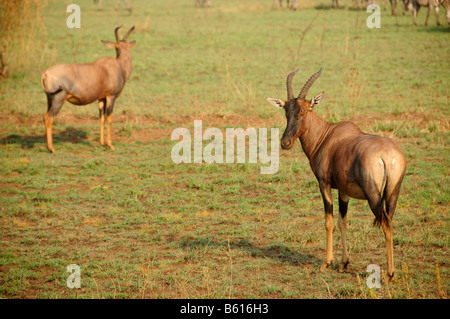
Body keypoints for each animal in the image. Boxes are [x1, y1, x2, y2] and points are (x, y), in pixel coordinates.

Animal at [40, 25, 135, 153]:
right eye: (117, 47)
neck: (117, 66)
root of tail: (45, 73)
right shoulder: (111, 97)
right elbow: (109, 118)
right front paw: (110, 145)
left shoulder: (101, 98)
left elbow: (101, 118)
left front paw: (102, 143)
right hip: (58, 99)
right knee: (49, 118)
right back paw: (52, 148)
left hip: (49, 99)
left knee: (45, 117)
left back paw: (47, 146)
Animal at [268, 68, 408, 280]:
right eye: (286, 111)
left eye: (304, 110)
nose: (285, 143)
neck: (327, 135)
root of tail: (387, 155)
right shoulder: (344, 190)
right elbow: (343, 221)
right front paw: (344, 263)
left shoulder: (324, 184)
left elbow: (329, 221)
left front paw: (327, 263)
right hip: (393, 193)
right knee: (390, 222)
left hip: (374, 197)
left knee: (384, 223)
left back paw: (390, 273)